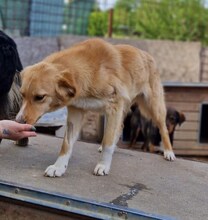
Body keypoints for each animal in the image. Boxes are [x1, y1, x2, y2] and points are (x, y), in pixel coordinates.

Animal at [16, 38, 176, 177]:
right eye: (22, 95)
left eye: (39, 97)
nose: (18, 121)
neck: (90, 70)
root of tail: (147, 54)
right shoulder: (76, 111)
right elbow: (66, 144)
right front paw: (59, 167)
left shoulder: (114, 107)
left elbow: (107, 141)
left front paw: (103, 165)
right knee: (119, 127)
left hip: (153, 106)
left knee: (163, 128)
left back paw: (169, 152)